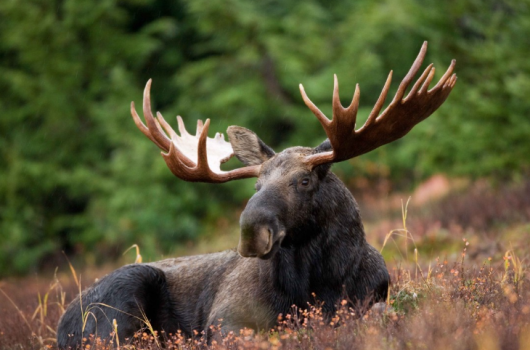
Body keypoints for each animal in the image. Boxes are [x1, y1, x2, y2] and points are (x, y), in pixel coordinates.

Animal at [56, 41, 454, 348]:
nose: (251, 232)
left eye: (304, 181)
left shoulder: (373, 299)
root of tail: (61, 326)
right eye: (256, 185)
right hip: (121, 300)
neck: (319, 283)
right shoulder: (225, 319)